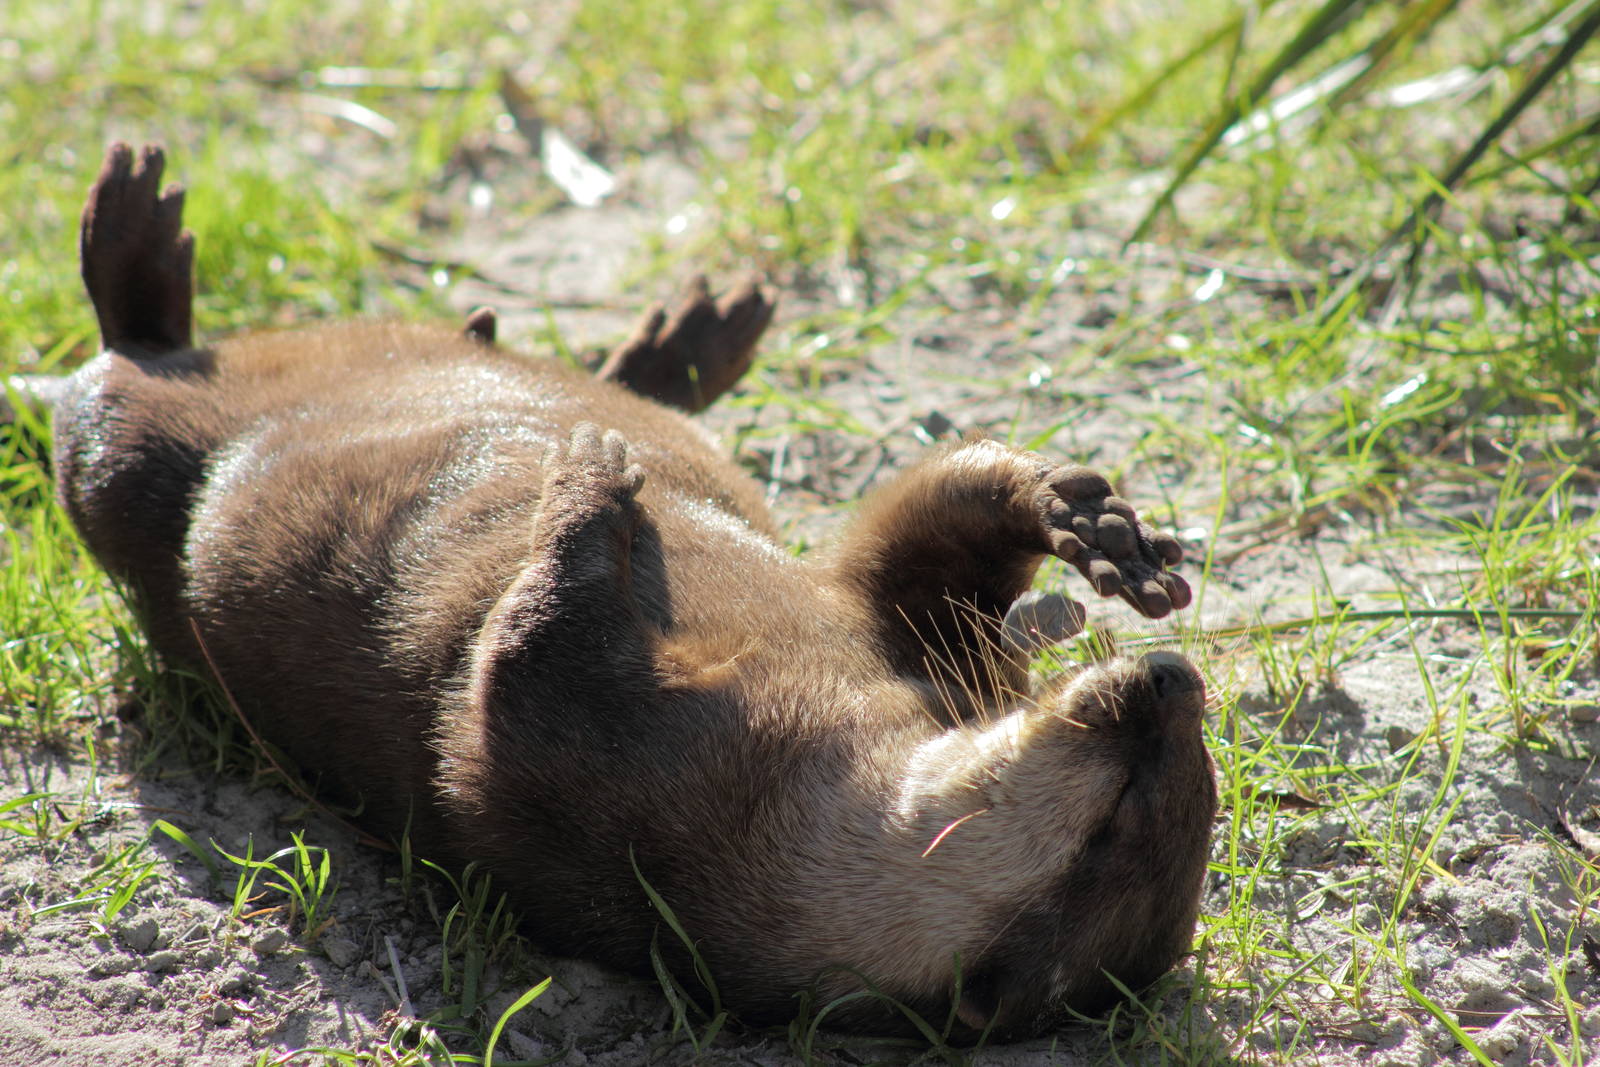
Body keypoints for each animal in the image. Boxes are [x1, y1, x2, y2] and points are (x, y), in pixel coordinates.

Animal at [39, 143, 1215, 1038]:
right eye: (1179, 759)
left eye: (1120, 816)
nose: (1171, 683)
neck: (804, 748)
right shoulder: (910, 652)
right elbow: (907, 556)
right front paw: (1079, 516)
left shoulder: (613, 798)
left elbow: (510, 673)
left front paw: (587, 482)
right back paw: (681, 344)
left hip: (131, 457)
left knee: (113, 385)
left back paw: (131, 244)